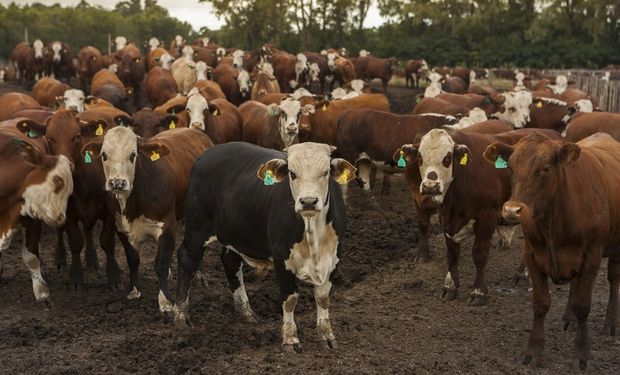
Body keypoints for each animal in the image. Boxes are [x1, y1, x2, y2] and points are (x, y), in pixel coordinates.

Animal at [81, 128, 212, 312]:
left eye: (133, 155)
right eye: (104, 155)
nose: (117, 183)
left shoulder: (167, 226)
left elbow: (160, 264)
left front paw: (166, 301)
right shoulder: (121, 228)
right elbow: (133, 259)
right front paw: (133, 291)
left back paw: (199, 273)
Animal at [172, 140, 356, 352]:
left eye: (325, 172)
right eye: (292, 173)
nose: (308, 201)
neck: (312, 234)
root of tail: (209, 153)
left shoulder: (334, 257)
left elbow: (323, 298)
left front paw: (327, 335)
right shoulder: (281, 257)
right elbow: (290, 299)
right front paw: (290, 339)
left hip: (235, 233)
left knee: (230, 261)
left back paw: (246, 312)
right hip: (197, 227)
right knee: (187, 259)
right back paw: (181, 316)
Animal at [398, 128, 560, 304]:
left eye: (447, 158)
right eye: (420, 157)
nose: (430, 186)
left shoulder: (486, 218)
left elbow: (479, 255)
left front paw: (478, 292)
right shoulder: (446, 220)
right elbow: (452, 255)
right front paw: (449, 287)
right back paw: (522, 275)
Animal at [484, 132, 620, 370]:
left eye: (545, 168)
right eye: (510, 166)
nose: (512, 210)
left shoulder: (591, 257)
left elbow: (583, 305)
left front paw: (582, 354)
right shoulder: (532, 255)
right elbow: (541, 303)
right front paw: (533, 351)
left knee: (614, 279)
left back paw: (610, 324)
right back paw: (569, 318)